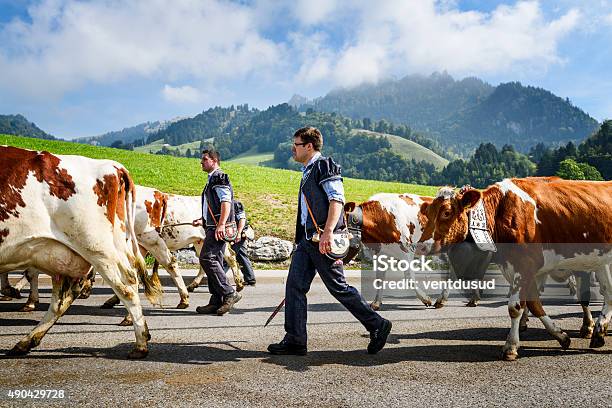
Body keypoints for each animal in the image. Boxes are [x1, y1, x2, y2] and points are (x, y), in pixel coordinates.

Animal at [0, 146, 163, 356]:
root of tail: (113, 166)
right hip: (68, 255)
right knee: (62, 299)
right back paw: (26, 341)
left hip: (97, 248)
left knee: (126, 285)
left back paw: (141, 344)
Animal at [418, 177, 608, 358]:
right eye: (428, 212)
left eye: (446, 212)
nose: (420, 246)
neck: (500, 214)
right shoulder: (517, 267)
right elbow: (533, 303)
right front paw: (561, 336)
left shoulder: (525, 265)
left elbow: (515, 307)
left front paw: (510, 346)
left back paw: (594, 329)